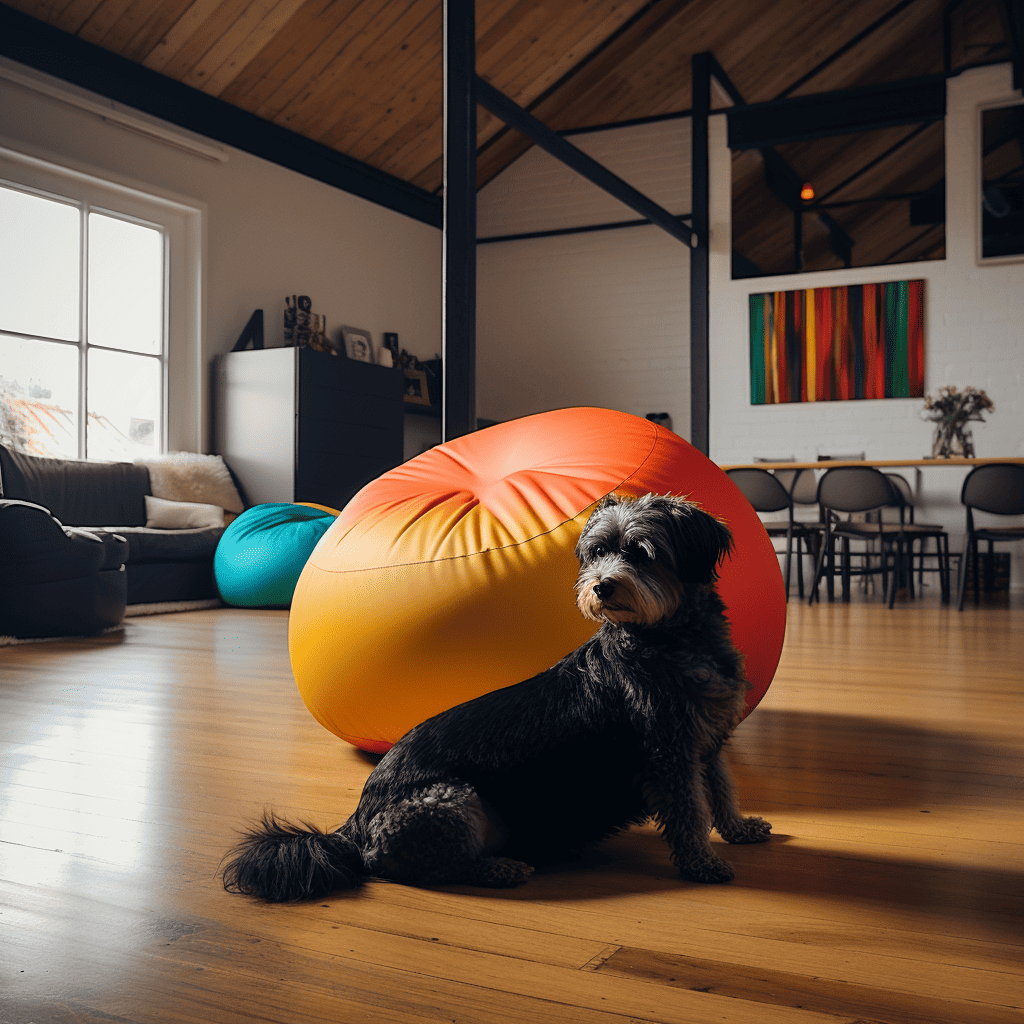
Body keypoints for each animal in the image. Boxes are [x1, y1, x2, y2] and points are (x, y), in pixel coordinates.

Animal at [222, 491, 770, 901]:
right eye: (597, 552)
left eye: (640, 552)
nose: (601, 587)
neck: (669, 638)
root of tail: (354, 824)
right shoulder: (668, 751)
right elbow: (688, 813)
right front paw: (703, 863)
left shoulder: (707, 742)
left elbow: (721, 792)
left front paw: (738, 829)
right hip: (453, 799)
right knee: (408, 867)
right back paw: (499, 869)